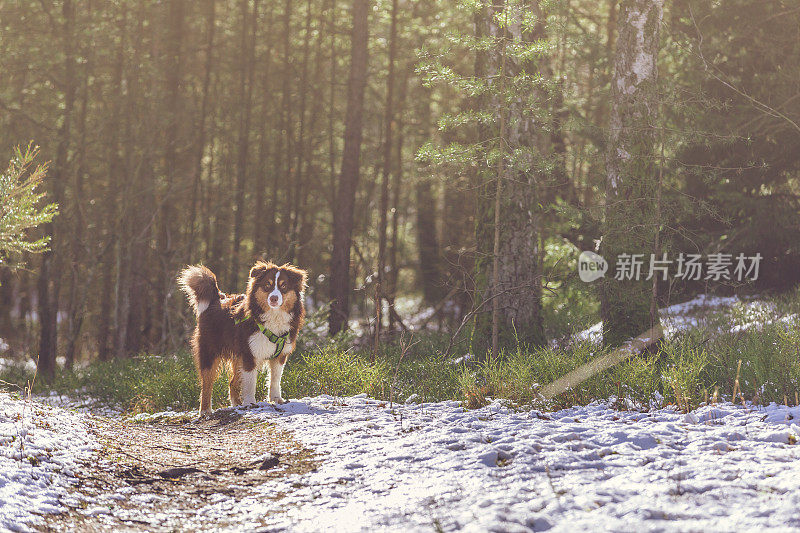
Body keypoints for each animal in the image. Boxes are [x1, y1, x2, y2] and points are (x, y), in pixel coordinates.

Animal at [178, 262, 306, 416]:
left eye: (284, 286)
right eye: (267, 285)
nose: (273, 298)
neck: (274, 317)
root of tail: (216, 300)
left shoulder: (280, 355)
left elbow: (275, 378)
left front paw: (276, 399)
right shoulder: (250, 354)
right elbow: (250, 381)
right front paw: (250, 402)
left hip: (237, 356)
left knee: (232, 382)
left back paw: (237, 405)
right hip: (210, 351)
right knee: (207, 384)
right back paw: (205, 410)